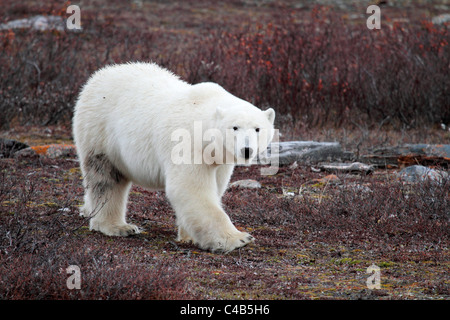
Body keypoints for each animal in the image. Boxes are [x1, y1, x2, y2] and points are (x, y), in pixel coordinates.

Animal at [72, 62, 274, 252]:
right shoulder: (187, 144)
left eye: (257, 128)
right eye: (235, 127)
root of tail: (96, 77)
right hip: (100, 131)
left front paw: (189, 236)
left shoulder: (219, 159)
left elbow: (215, 187)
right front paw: (238, 238)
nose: (247, 150)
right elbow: (191, 189)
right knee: (106, 179)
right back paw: (118, 226)